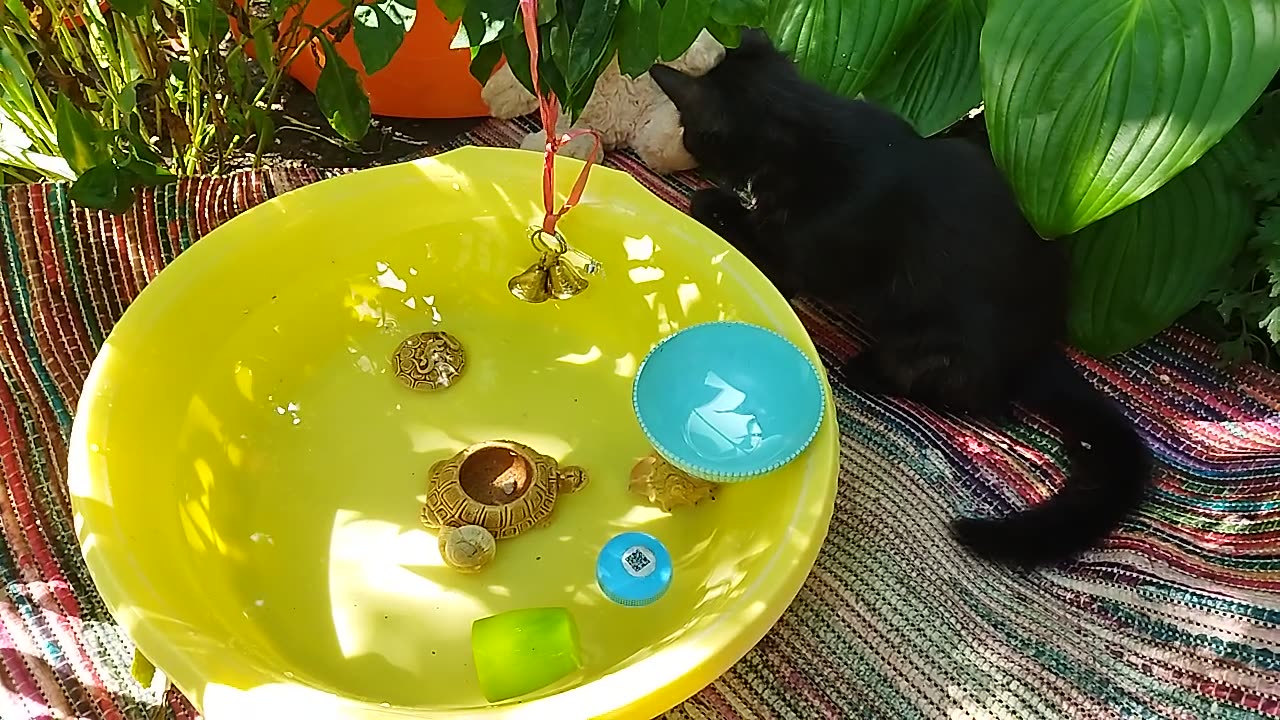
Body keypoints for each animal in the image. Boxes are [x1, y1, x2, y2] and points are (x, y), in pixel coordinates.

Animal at [650, 29, 1152, 566]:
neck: (805, 129)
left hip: (933, 346)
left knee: (982, 401)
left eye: (689, 130)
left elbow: (719, 211)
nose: (683, 145)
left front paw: (714, 200)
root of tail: (1042, 347)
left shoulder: (792, 263)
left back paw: (868, 370)